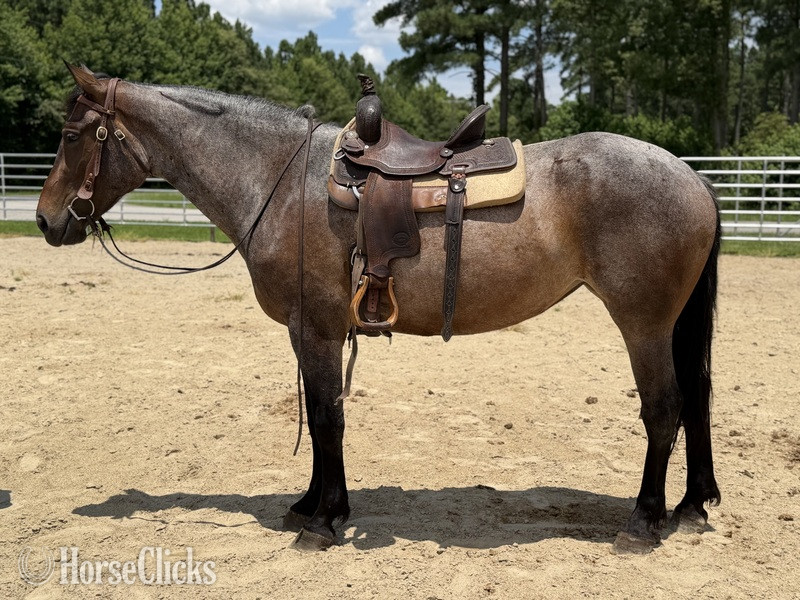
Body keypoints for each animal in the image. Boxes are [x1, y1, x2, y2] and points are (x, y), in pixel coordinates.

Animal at [36, 65, 721, 553]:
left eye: (70, 136)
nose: (44, 220)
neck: (278, 180)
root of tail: (692, 176)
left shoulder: (315, 327)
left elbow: (327, 417)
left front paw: (324, 522)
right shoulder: (311, 331)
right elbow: (321, 414)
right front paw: (311, 506)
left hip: (643, 324)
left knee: (664, 408)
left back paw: (643, 522)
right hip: (671, 326)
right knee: (695, 399)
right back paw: (690, 507)